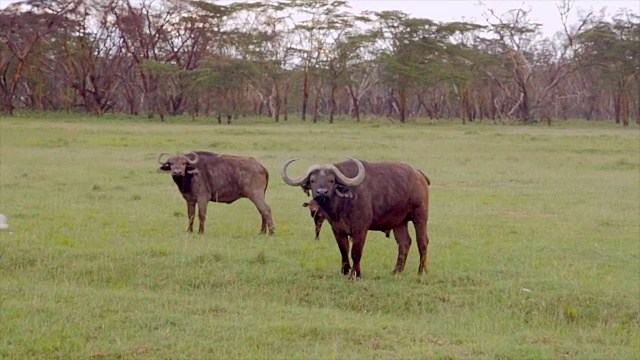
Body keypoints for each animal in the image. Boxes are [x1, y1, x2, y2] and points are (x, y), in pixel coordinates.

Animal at [284, 158, 430, 278]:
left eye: (331, 180)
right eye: (312, 180)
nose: (322, 192)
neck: (341, 205)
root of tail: (419, 174)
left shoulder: (360, 229)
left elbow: (356, 251)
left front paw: (355, 274)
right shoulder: (337, 229)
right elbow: (343, 249)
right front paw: (344, 271)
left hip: (420, 216)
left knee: (422, 241)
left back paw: (421, 271)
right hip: (399, 222)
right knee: (404, 242)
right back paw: (396, 271)